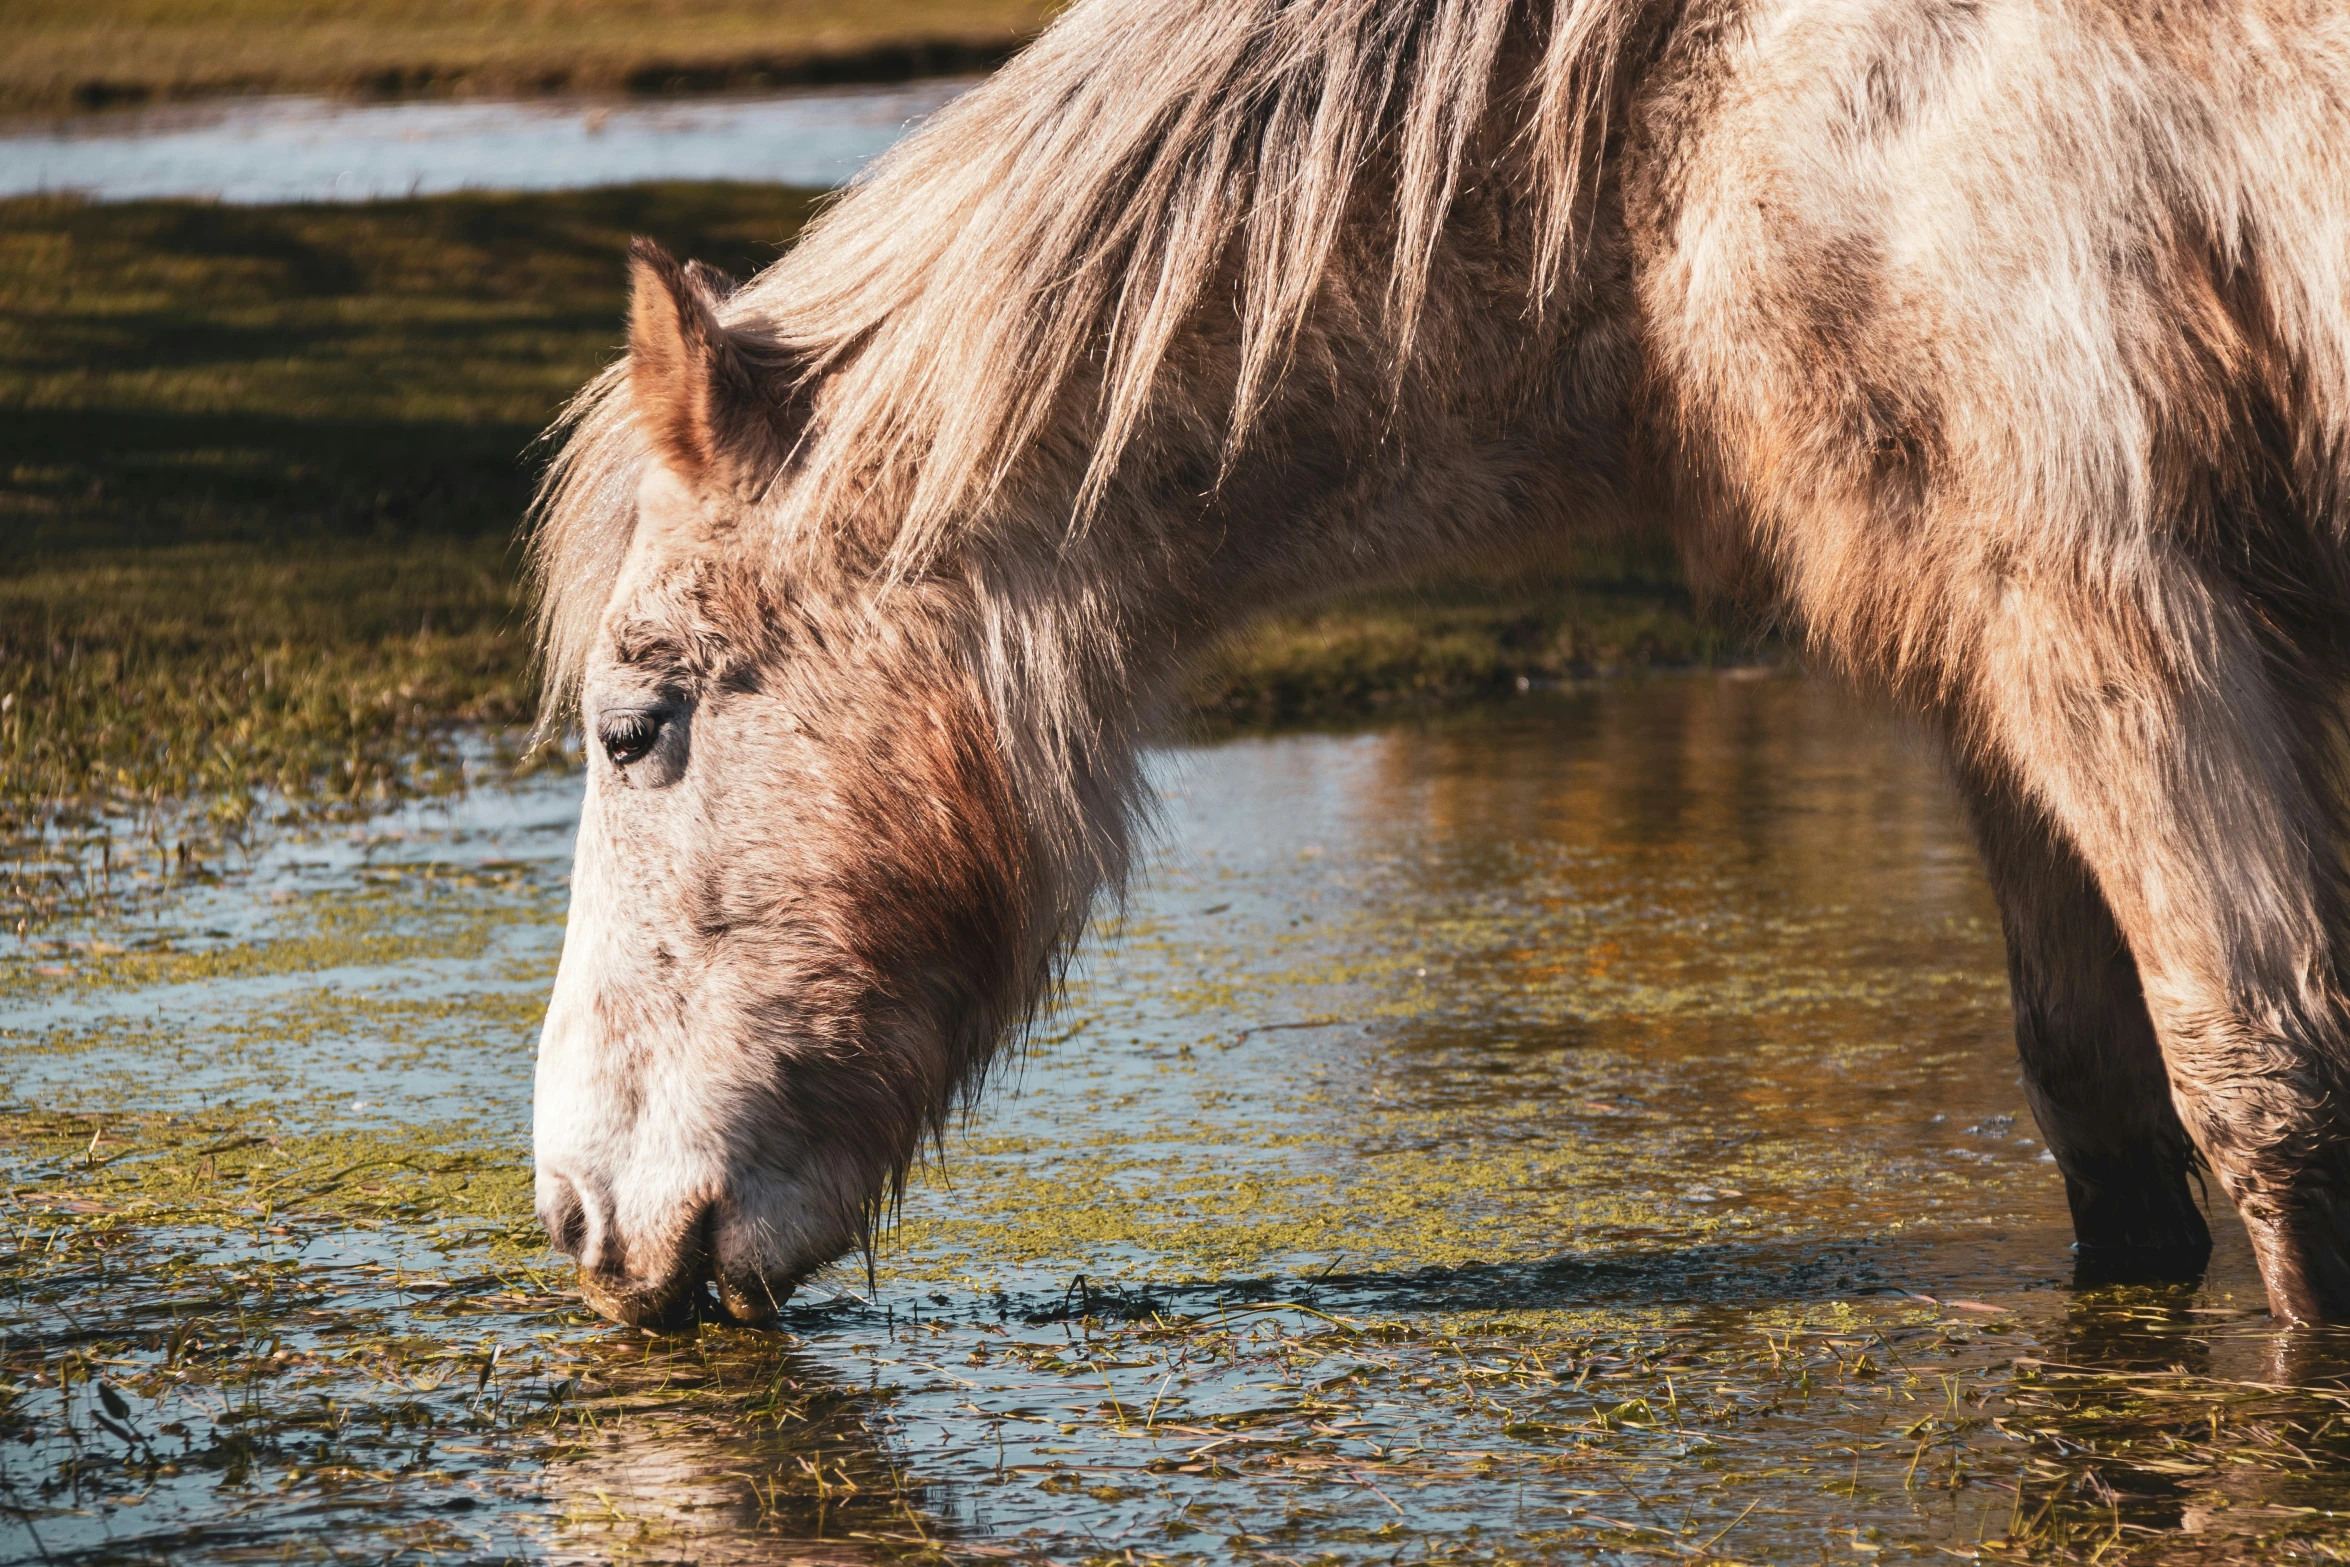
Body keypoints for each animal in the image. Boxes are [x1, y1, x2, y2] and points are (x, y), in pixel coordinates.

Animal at [524, 0, 2350, 1334]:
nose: (576, 1219)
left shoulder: (2109, 603)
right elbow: (2105, 1116)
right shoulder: (1981, 645)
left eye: (636, 726)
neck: (1695, 109)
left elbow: (2268, 1086)